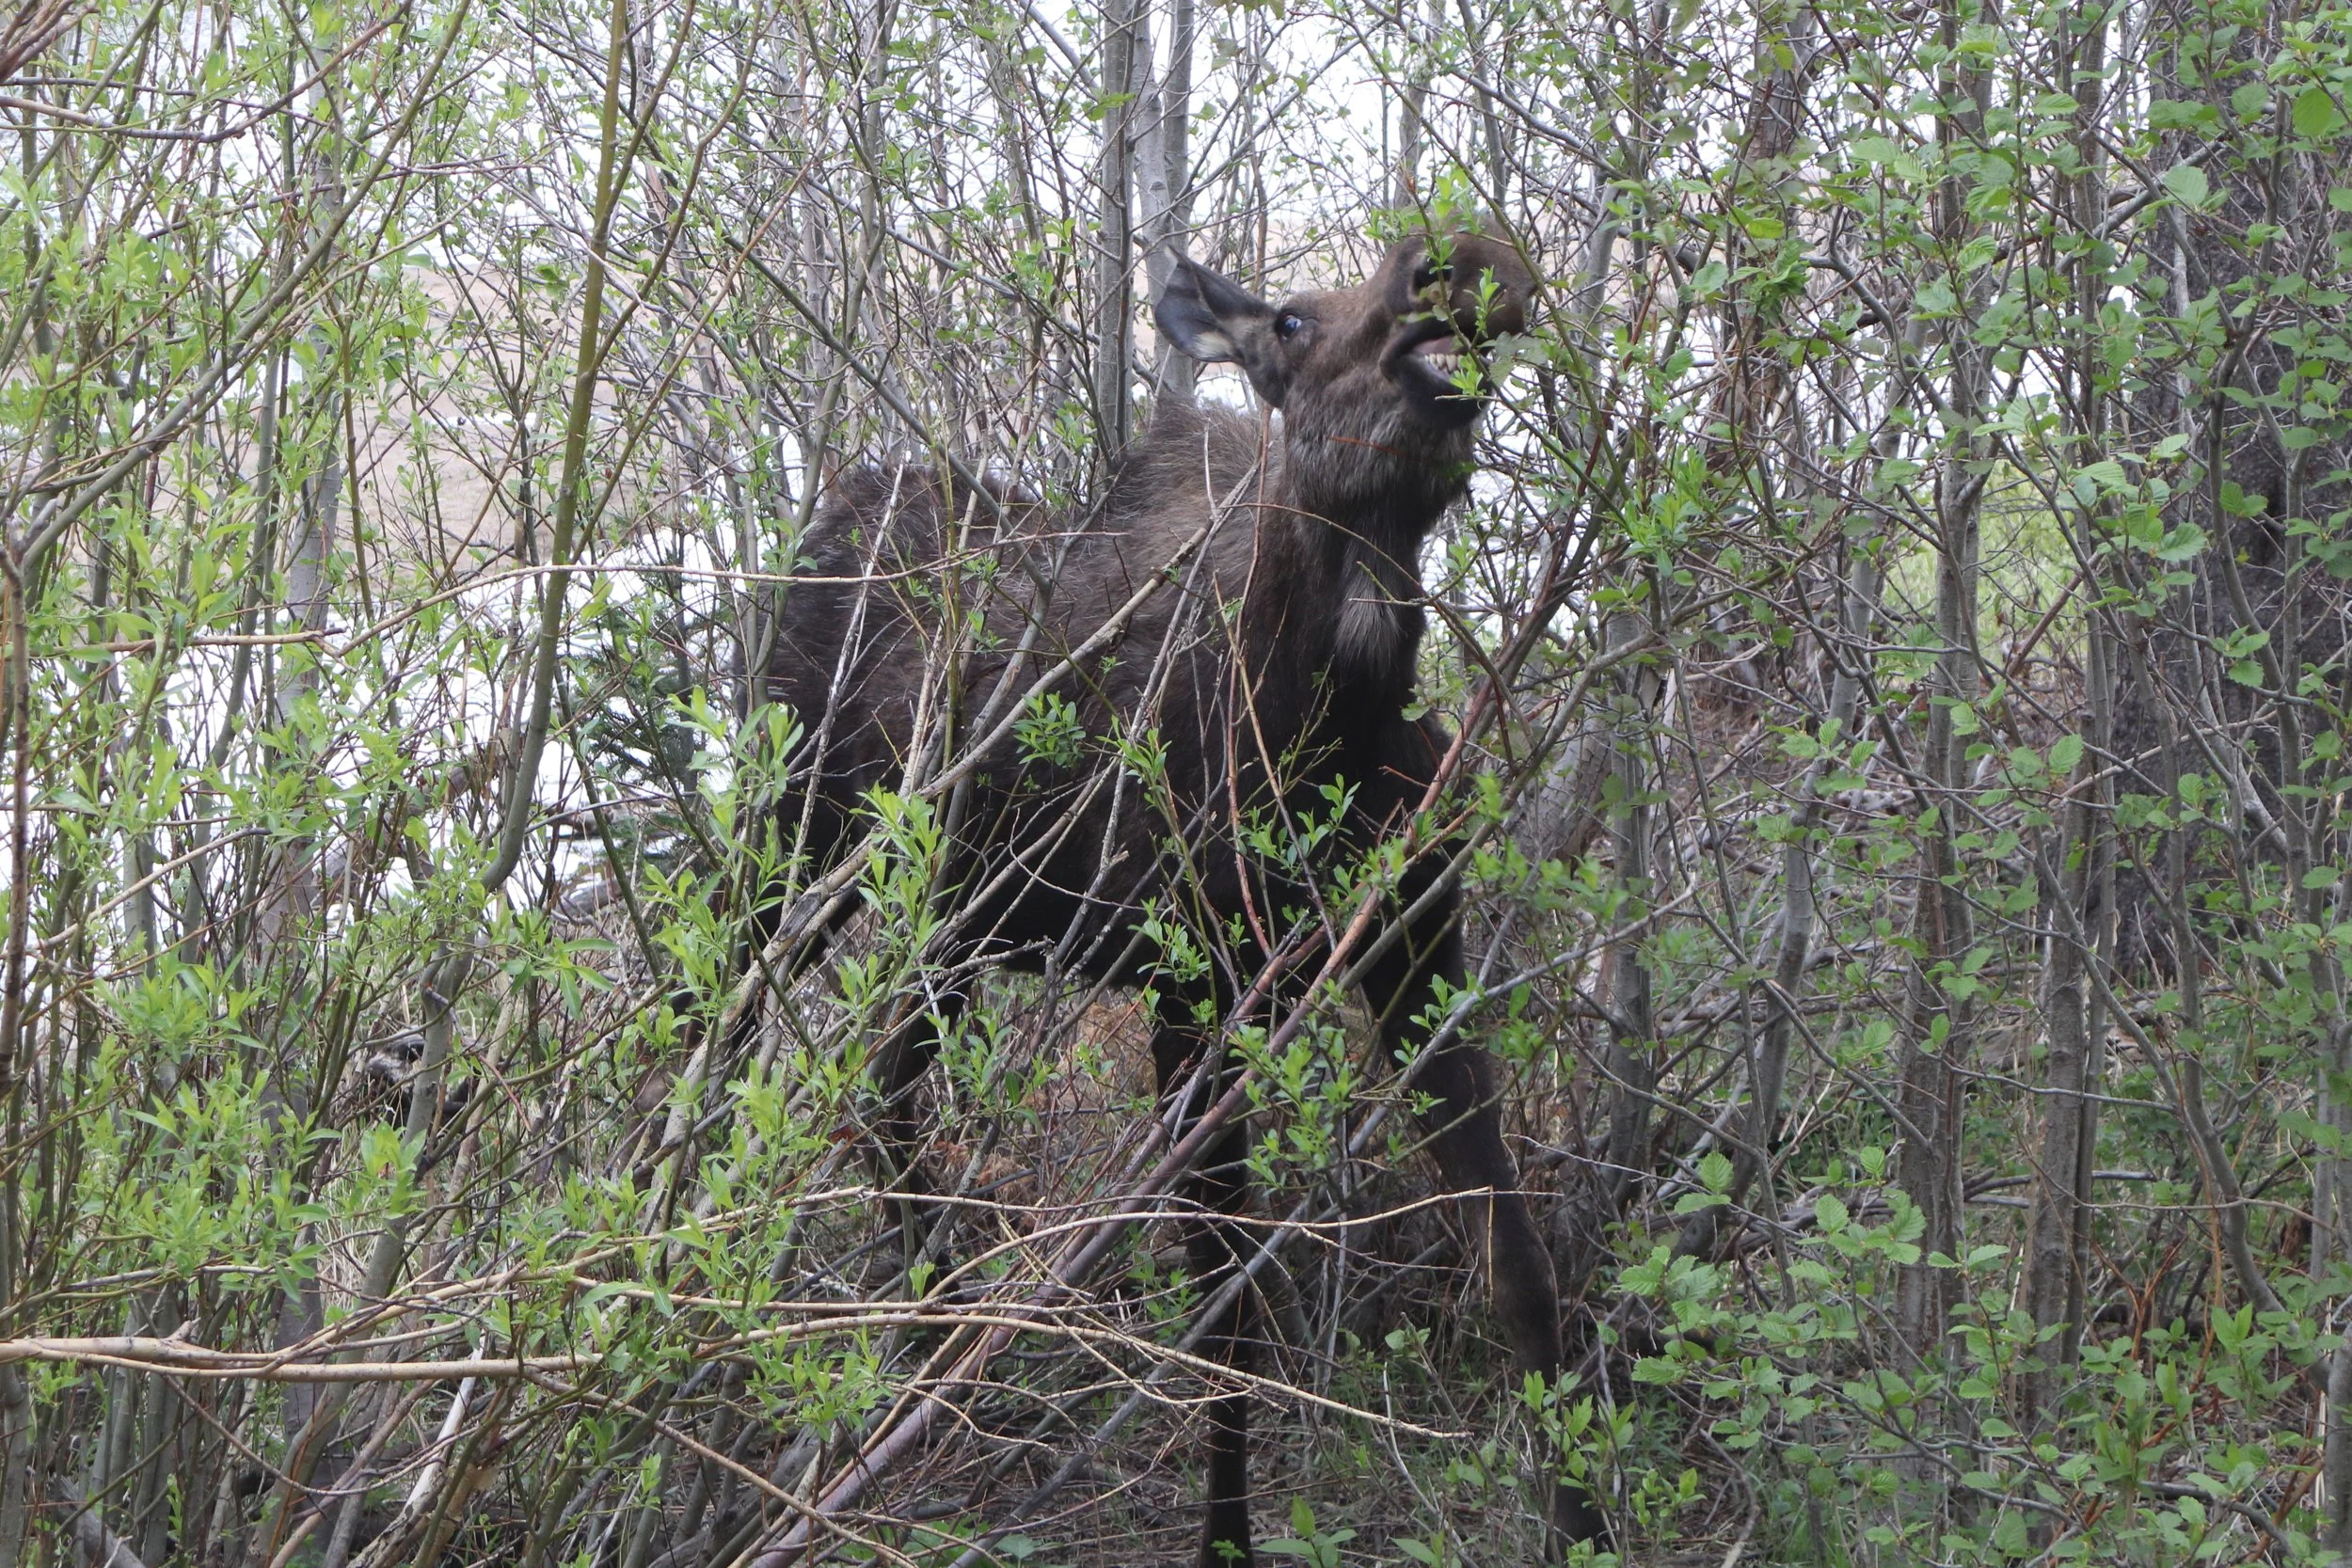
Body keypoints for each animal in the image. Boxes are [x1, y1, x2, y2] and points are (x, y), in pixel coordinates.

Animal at [754, 230, 1601, 1566]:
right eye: (1292, 322)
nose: (1454, 259)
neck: (1330, 723)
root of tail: (837, 503)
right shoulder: (1195, 987)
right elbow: (1224, 1304)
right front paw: (1226, 1539)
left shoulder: (1417, 943)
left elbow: (1514, 1260)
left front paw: (1581, 1521)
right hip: (784, 837)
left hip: (954, 922)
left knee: (887, 1088)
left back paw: (943, 1339)